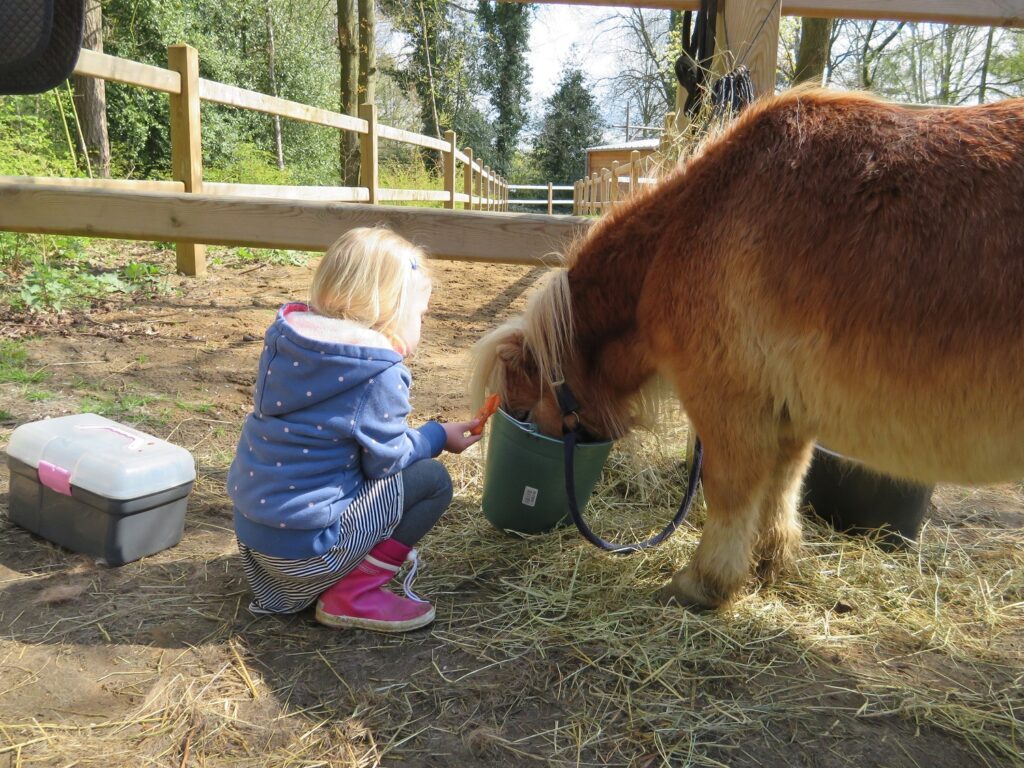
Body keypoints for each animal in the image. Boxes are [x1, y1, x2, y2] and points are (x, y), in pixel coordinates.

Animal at [471, 88, 1024, 606]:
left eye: (523, 408)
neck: (691, 225)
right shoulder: (791, 412)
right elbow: (783, 486)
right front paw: (769, 561)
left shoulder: (727, 401)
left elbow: (730, 490)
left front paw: (704, 582)